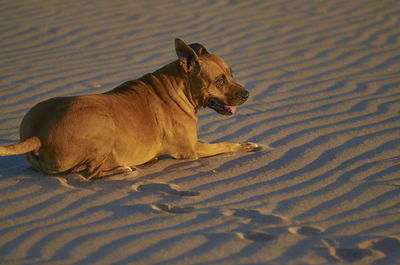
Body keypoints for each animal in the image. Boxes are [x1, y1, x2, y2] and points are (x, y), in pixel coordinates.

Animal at [0, 38, 260, 178]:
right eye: (220, 81)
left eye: (231, 74)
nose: (247, 94)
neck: (179, 86)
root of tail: (38, 136)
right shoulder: (192, 151)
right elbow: (223, 145)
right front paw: (244, 145)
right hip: (103, 126)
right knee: (89, 173)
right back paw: (123, 169)